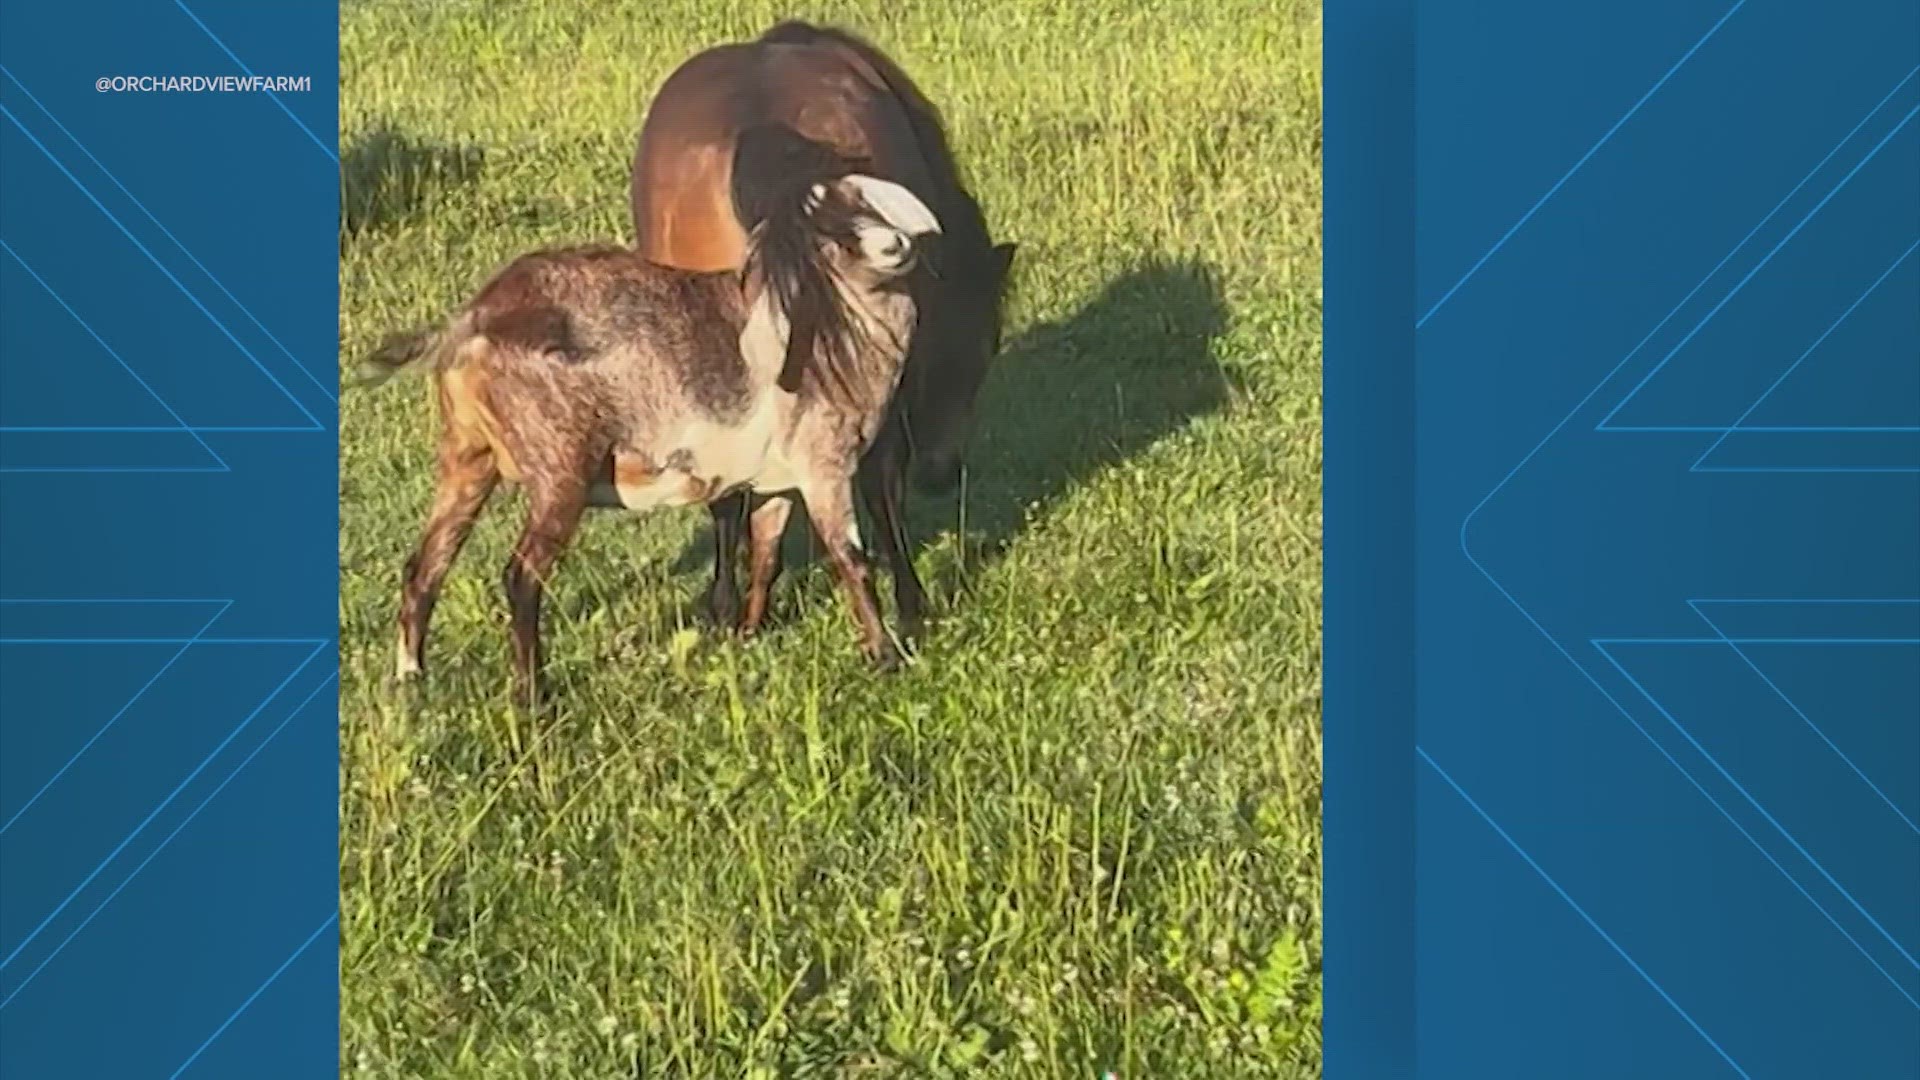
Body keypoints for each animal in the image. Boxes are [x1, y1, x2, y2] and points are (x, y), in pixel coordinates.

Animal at [360, 125, 944, 703]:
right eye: (823, 231)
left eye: (860, 202)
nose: (894, 246)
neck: (835, 325)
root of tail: (472, 319)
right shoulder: (824, 464)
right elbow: (852, 560)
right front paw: (886, 657)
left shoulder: (776, 479)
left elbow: (766, 554)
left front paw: (749, 633)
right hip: (558, 467)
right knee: (520, 575)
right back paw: (532, 696)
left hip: (468, 455)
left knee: (425, 564)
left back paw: (411, 679)